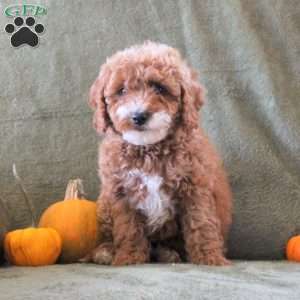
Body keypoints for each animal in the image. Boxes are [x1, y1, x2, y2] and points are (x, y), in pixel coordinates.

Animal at [86, 41, 232, 266]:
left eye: (160, 88)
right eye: (122, 90)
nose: (138, 116)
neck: (148, 148)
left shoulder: (195, 187)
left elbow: (201, 223)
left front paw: (210, 258)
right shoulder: (121, 192)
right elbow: (128, 228)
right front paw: (129, 258)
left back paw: (168, 253)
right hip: (103, 205)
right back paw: (106, 251)